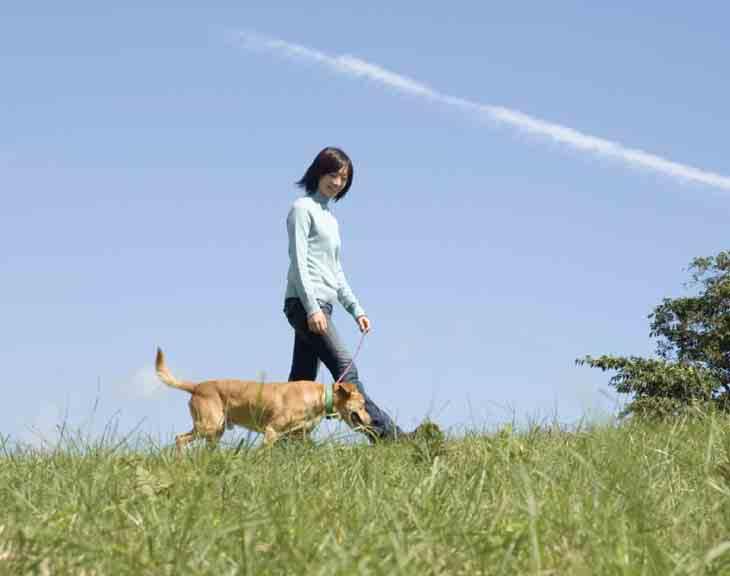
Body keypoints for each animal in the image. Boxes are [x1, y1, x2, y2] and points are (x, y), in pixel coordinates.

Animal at [154, 346, 370, 450]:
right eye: (363, 404)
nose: (372, 421)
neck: (320, 397)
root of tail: (197, 386)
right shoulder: (271, 430)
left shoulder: (299, 436)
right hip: (209, 425)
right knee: (179, 439)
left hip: (215, 431)